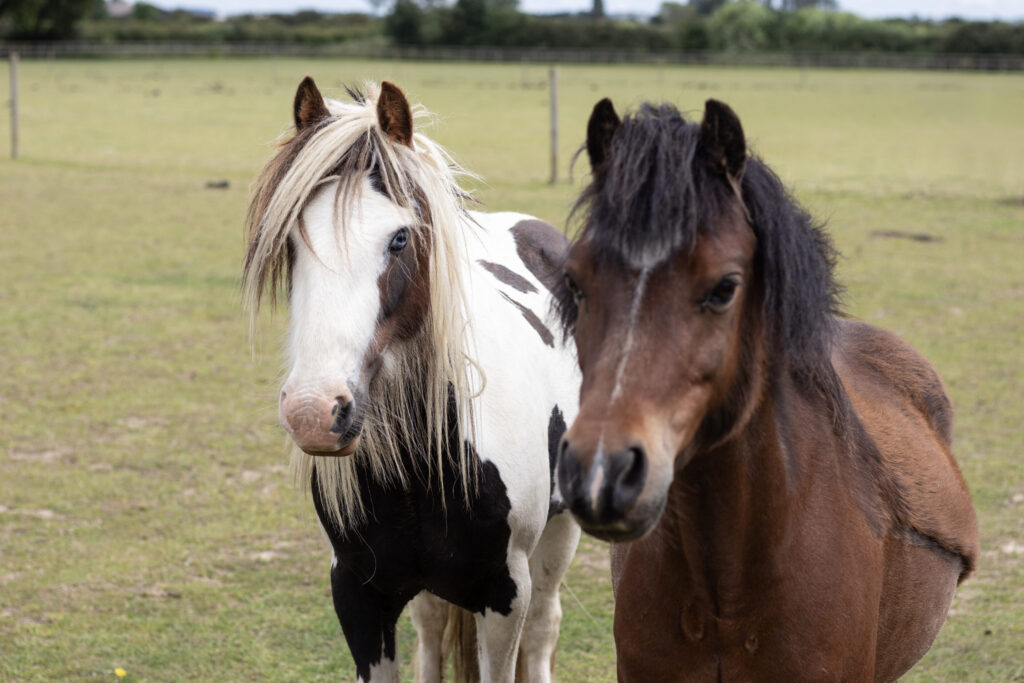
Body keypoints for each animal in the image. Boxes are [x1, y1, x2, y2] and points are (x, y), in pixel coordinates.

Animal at [242, 78, 581, 683]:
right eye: (291, 242)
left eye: (400, 239)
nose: (314, 412)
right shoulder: (356, 592)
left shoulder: (506, 594)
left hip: (560, 536)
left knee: (544, 629)